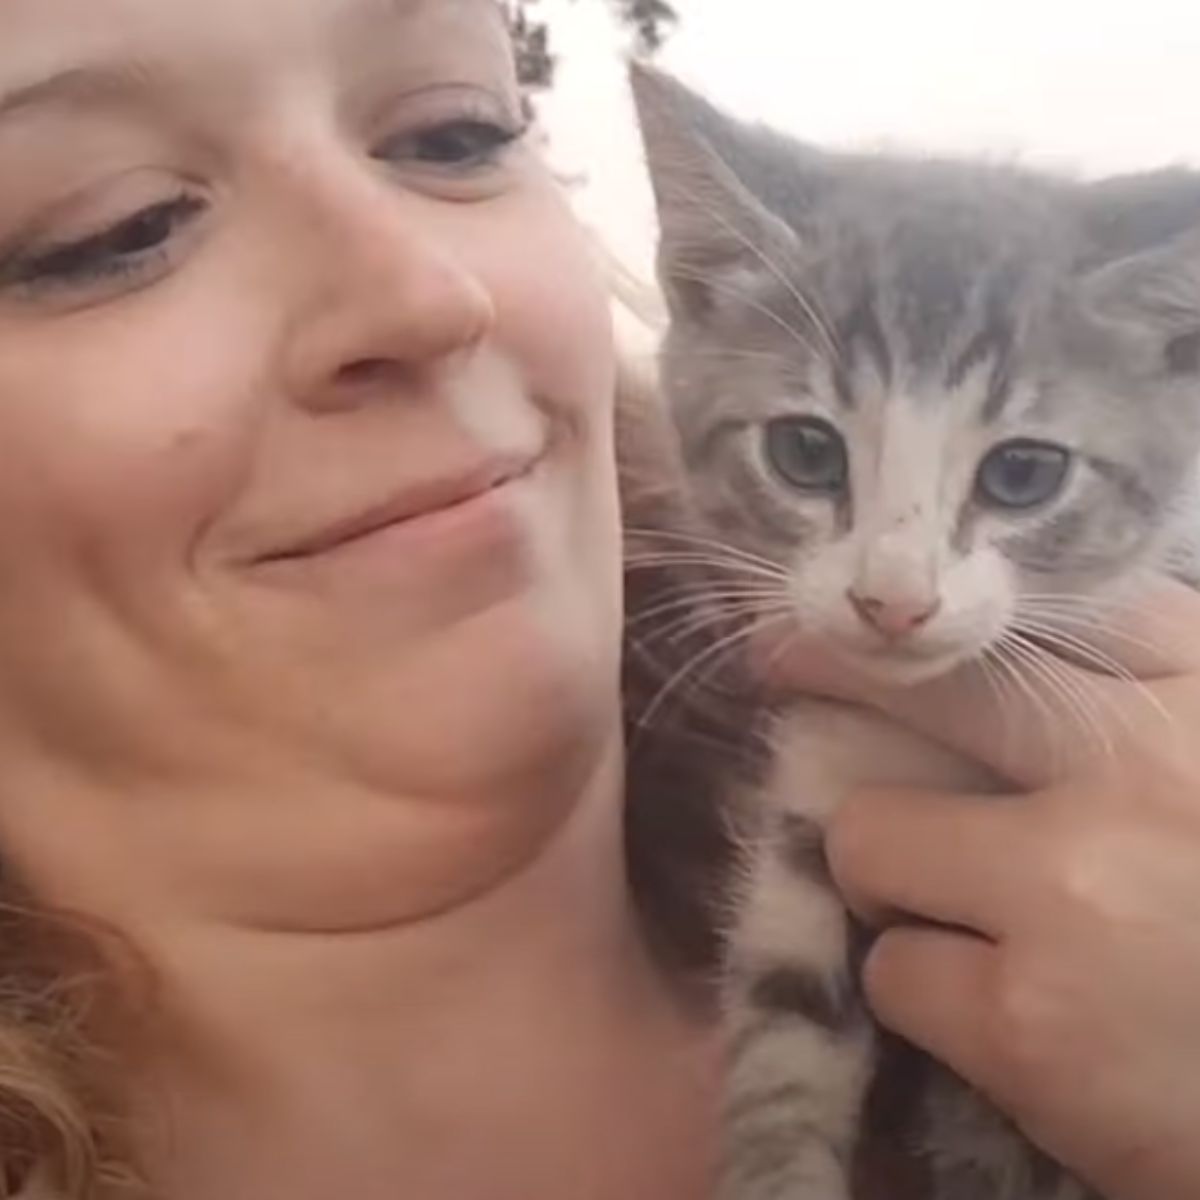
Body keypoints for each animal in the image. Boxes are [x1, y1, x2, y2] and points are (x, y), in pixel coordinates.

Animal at [624, 63, 1200, 1200]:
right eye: (806, 452)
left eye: (1022, 474)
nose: (893, 600)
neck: (918, 732)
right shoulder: (814, 814)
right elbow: (785, 1029)